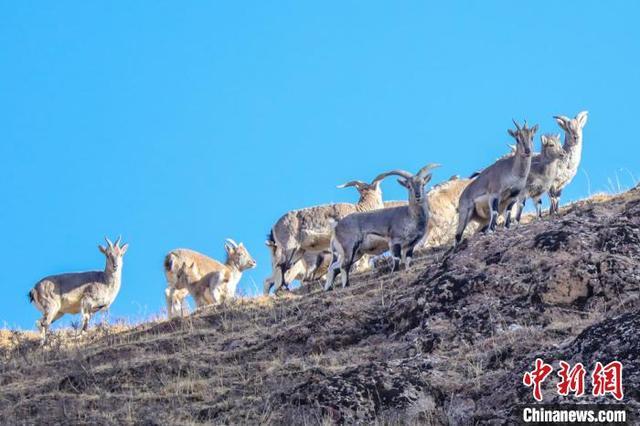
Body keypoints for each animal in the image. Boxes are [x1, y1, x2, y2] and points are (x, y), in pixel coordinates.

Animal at [324, 162, 440, 290]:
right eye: (409, 186)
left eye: (423, 184)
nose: (418, 195)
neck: (410, 216)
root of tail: (336, 228)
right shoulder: (395, 241)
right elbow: (397, 259)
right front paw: (395, 273)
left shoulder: (410, 245)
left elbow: (408, 260)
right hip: (349, 247)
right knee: (344, 266)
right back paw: (346, 285)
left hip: (356, 253)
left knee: (334, 267)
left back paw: (329, 288)